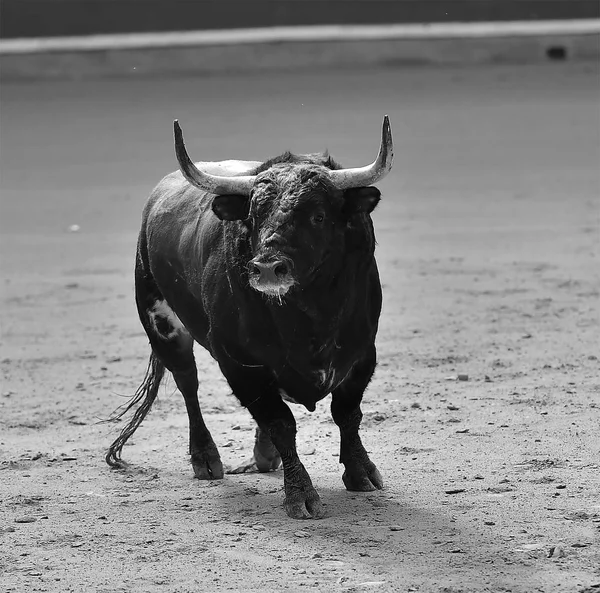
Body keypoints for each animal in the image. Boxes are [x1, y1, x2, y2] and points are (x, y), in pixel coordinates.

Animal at [105, 117, 396, 520]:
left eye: (318, 215)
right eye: (254, 216)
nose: (267, 267)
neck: (310, 318)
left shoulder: (362, 353)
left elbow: (347, 413)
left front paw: (361, 473)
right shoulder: (240, 363)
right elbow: (279, 422)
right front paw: (300, 493)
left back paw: (264, 456)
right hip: (162, 324)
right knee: (188, 385)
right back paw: (205, 458)